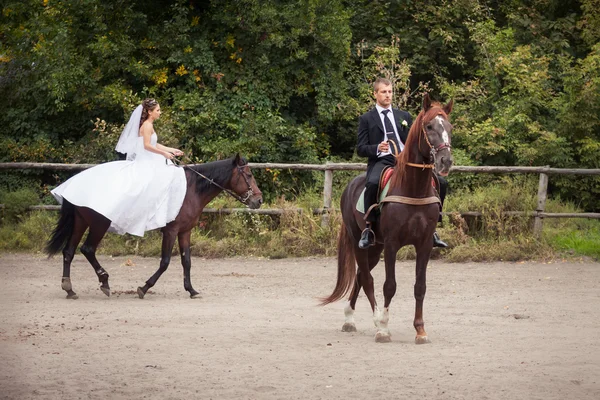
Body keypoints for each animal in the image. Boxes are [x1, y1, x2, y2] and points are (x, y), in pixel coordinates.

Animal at [45, 155, 262, 298]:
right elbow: (165, 262)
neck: (192, 189)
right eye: (249, 175)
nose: (259, 200)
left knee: (69, 252)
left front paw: (191, 290)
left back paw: (70, 289)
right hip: (99, 224)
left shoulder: (185, 231)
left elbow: (187, 261)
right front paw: (144, 288)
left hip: (81, 221)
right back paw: (104, 282)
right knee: (87, 249)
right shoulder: (171, 231)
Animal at [322, 95, 452, 342]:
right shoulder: (392, 245)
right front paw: (383, 328)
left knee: (361, 276)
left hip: (375, 247)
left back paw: (350, 317)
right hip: (360, 243)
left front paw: (420, 330)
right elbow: (389, 286)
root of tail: (351, 185)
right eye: (429, 127)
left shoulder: (424, 244)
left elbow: (420, 286)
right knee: (367, 279)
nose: (445, 161)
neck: (413, 188)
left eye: (449, 127)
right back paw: (374, 320)